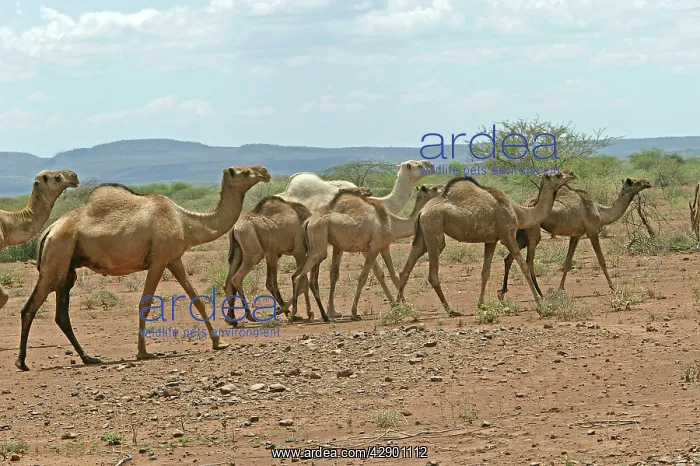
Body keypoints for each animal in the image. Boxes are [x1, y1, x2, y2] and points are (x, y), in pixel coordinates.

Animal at [14, 165, 271, 371]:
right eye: (244, 172)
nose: (265, 171)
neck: (185, 222)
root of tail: (48, 231)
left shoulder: (173, 259)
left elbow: (196, 298)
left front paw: (219, 342)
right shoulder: (159, 259)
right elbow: (145, 304)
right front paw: (143, 352)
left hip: (67, 269)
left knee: (61, 314)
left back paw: (89, 358)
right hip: (56, 259)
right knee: (29, 308)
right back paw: (22, 362)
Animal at [223, 186, 374, 325]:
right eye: (356, 191)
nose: (368, 190)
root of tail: (234, 227)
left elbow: (303, 281)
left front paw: (300, 312)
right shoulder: (300, 251)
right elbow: (303, 281)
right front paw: (310, 313)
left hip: (245, 252)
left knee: (232, 281)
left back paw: (233, 318)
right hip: (255, 251)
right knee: (239, 278)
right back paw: (250, 316)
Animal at [278, 160, 433, 317]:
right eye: (418, 165)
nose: (430, 165)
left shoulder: (347, 244)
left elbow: (336, 274)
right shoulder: (366, 244)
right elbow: (375, 273)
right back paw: (293, 311)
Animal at [396, 171, 576, 315]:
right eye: (558, 174)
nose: (572, 173)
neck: (518, 211)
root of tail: (421, 212)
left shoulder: (491, 241)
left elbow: (485, 272)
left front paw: (481, 305)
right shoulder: (507, 235)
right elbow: (523, 266)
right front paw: (539, 302)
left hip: (422, 236)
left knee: (405, 270)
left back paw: (398, 307)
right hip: (434, 230)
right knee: (432, 273)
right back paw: (451, 310)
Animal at [498, 178, 652, 299]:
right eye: (636, 182)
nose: (648, 182)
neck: (600, 211)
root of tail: (521, 207)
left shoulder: (576, 235)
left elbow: (567, 262)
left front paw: (560, 289)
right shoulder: (592, 231)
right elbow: (601, 260)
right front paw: (613, 287)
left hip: (522, 233)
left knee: (509, 257)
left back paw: (502, 292)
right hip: (533, 233)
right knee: (528, 261)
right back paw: (541, 294)